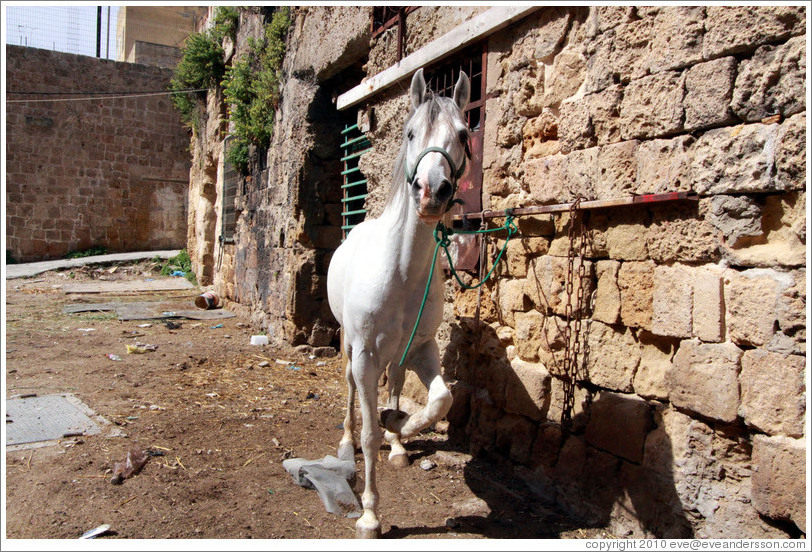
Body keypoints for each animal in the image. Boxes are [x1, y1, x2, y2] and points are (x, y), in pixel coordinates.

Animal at [328, 69, 472, 540]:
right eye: (410, 133)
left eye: (463, 134)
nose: (432, 192)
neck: (401, 271)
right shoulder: (365, 356)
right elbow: (368, 432)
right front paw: (370, 515)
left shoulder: (423, 349)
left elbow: (440, 400)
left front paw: (398, 426)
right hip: (352, 348)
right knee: (350, 392)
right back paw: (345, 442)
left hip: (397, 353)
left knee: (393, 383)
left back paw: (397, 444)